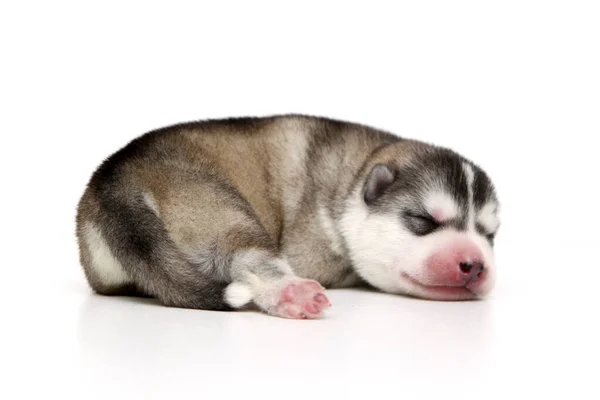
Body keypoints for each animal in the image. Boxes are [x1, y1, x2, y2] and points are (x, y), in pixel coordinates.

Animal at [75, 115, 500, 318]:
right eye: (423, 221)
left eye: (489, 234)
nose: (475, 264)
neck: (355, 172)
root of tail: (115, 178)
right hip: (214, 207)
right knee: (250, 258)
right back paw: (291, 292)